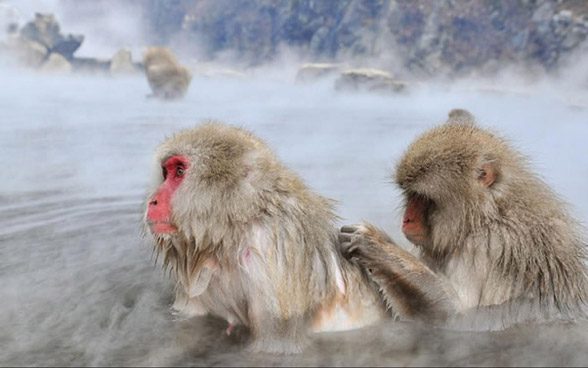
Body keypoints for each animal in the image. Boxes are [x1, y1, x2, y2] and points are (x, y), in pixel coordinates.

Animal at [145, 123, 398, 354]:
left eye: (179, 171)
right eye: (165, 173)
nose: (152, 201)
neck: (231, 234)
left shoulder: (272, 256)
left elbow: (277, 345)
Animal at [340, 109, 588, 328]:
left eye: (421, 197)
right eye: (409, 194)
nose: (406, 220)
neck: (486, 215)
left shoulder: (489, 245)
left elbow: (456, 316)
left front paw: (376, 246)